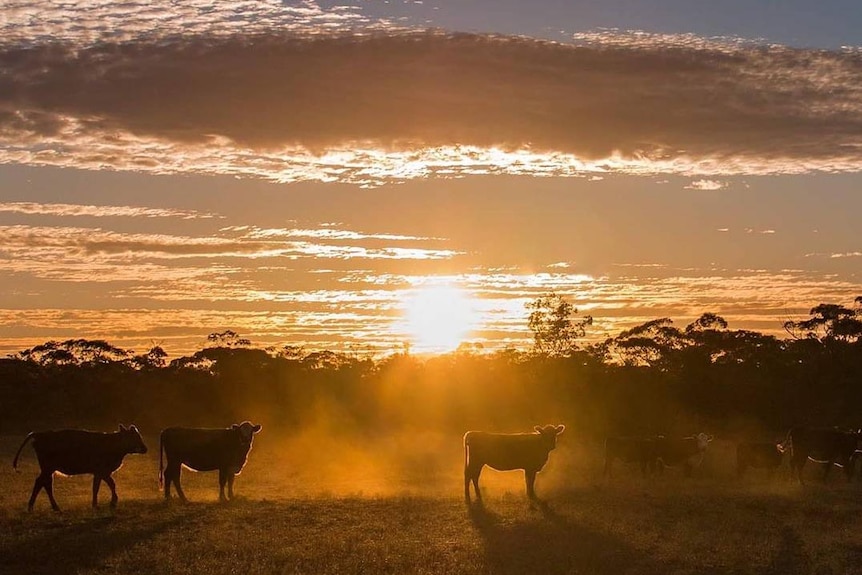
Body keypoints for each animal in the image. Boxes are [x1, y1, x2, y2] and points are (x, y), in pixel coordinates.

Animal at [11, 424, 148, 512]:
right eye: (134, 437)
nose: (145, 448)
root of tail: (40, 434)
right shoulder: (102, 471)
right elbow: (108, 485)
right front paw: (109, 503)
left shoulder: (100, 473)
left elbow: (100, 487)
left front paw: (99, 504)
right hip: (47, 468)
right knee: (41, 482)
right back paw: (32, 507)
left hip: (49, 469)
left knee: (45, 483)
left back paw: (53, 507)